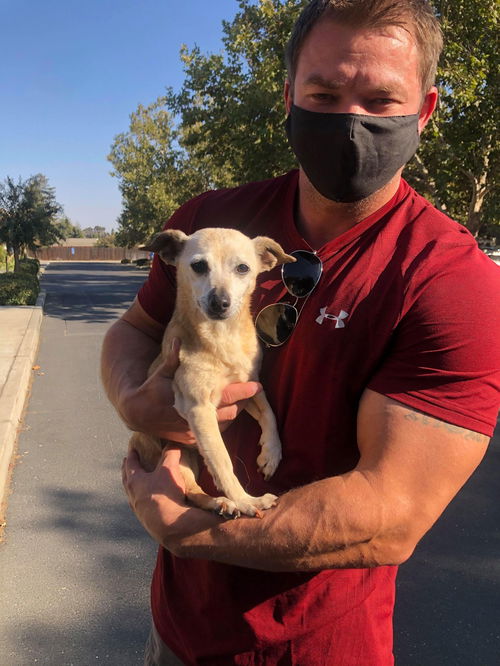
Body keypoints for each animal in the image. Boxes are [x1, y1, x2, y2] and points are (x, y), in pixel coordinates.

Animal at [128, 226, 296, 516]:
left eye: (243, 268)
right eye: (198, 266)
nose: (220, 301)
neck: (223, 337)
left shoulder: (249, 388)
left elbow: (269, 413)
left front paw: (271, 454)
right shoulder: (200, 409)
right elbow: (222, 461)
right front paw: (246, 500)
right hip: (179, 457)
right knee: (190, 490)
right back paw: (225, 502)